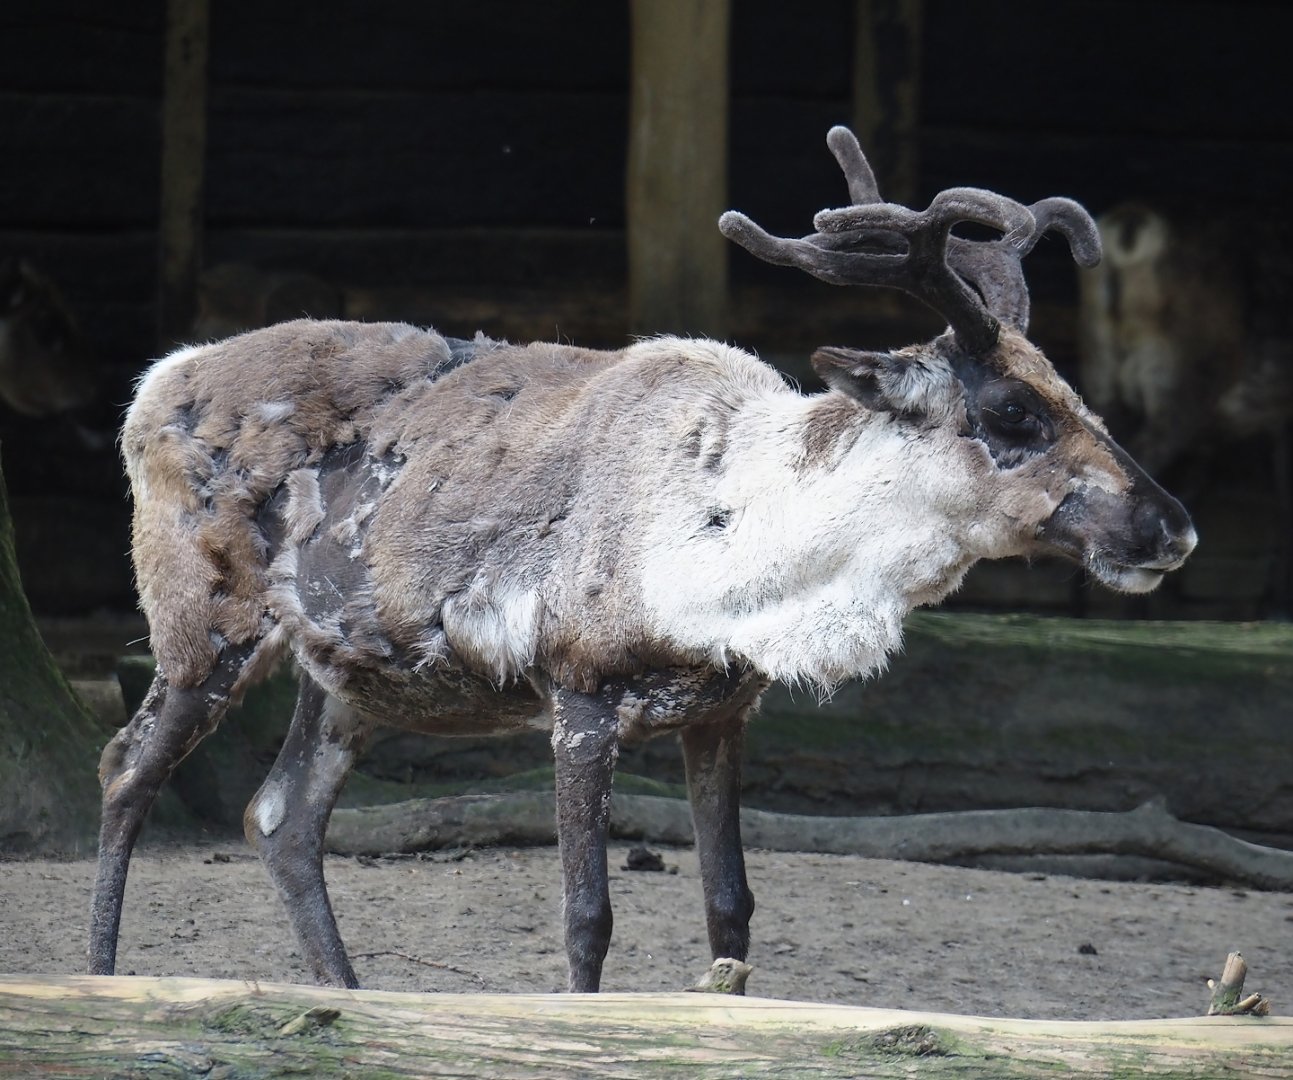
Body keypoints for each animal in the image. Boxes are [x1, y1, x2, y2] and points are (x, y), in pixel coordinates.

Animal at [89, 127, 1196, 994]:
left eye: (1072, 391)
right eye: (1010, 411)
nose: (1172, 530)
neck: (737, 537)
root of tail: (154, 382)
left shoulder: (720, 710)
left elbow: (730, 906)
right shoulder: (579, 697)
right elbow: (588, 918)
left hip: (347, 676)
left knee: (280, 817)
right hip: (205, 624)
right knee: (128, 769)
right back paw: (101, 983)